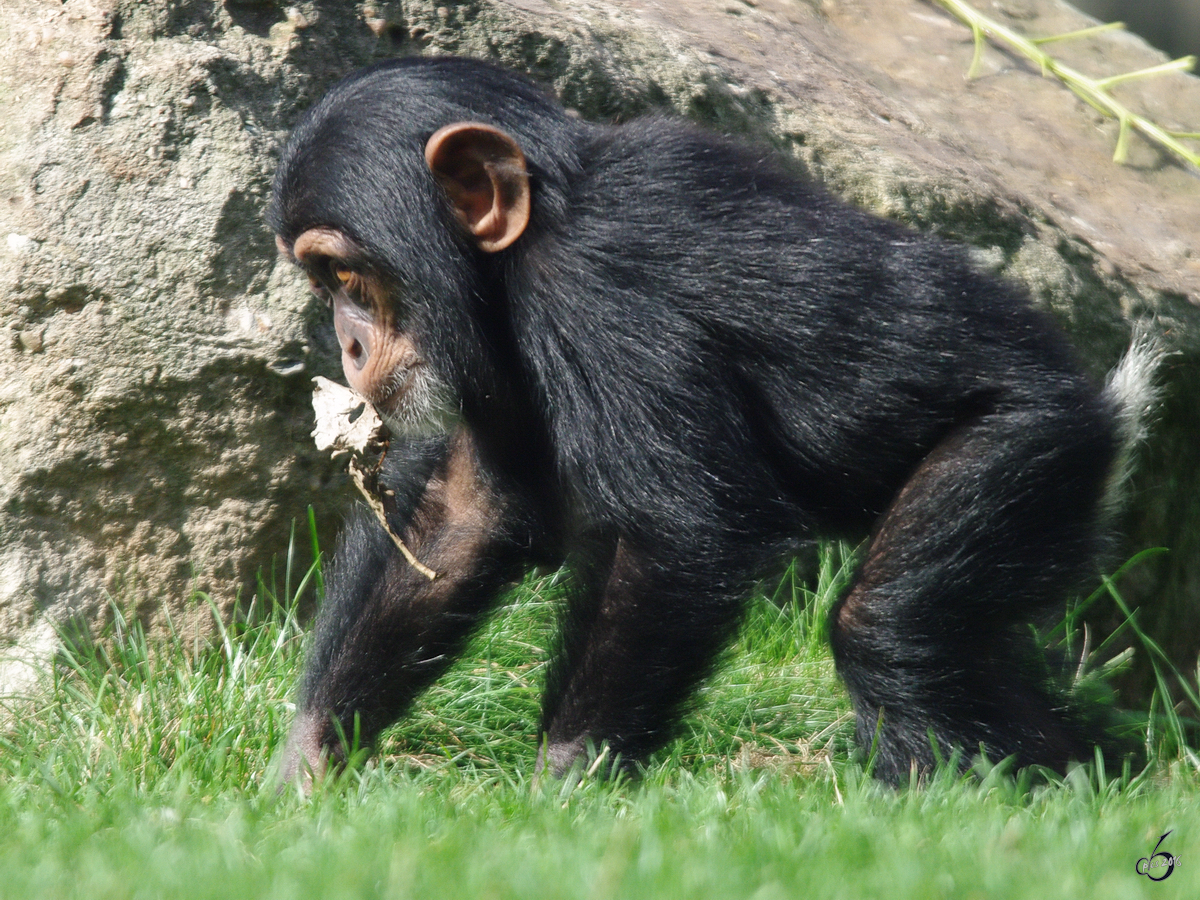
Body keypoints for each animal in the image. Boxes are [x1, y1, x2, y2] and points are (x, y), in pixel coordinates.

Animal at [267, 56, 1128, 787]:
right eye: (322, 284)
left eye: (344, 273)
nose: (347, 341)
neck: (527, 244)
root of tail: (1101, 400)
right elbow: (459, 522)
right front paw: (306, 767)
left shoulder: (601, 294)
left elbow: (676, 534)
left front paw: (561, 793)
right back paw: (1074, 775)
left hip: (1022, 448)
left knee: (890, 626)